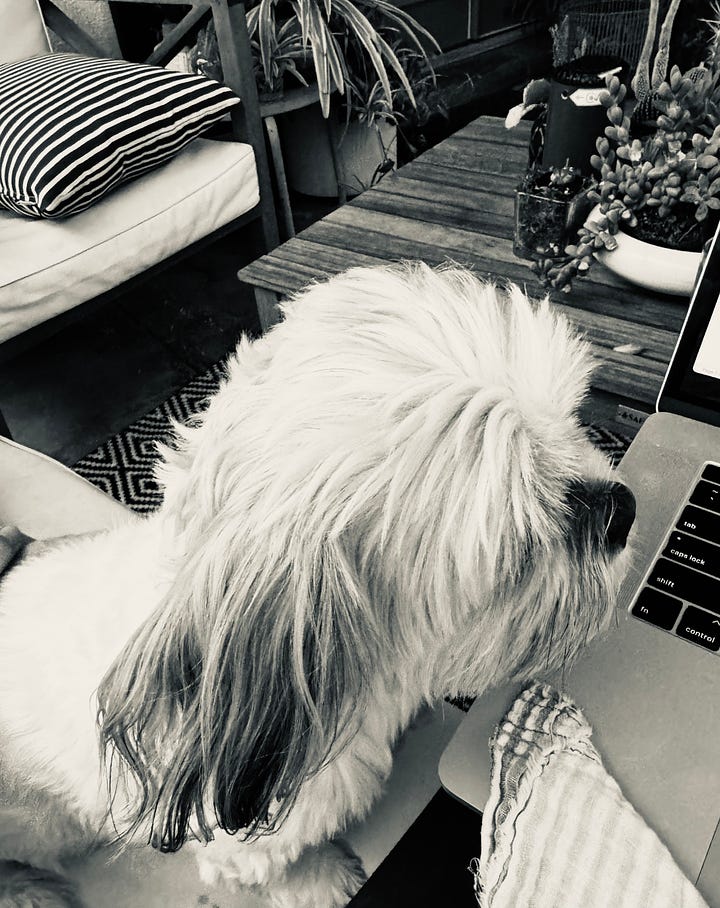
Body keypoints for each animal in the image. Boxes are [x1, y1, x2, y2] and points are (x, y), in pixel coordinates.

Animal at [0, 262, 632, 908]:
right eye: (524, 544)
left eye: (574, 421)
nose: (624, 508)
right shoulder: (242, 845)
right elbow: (282, 868)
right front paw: (323, 876)